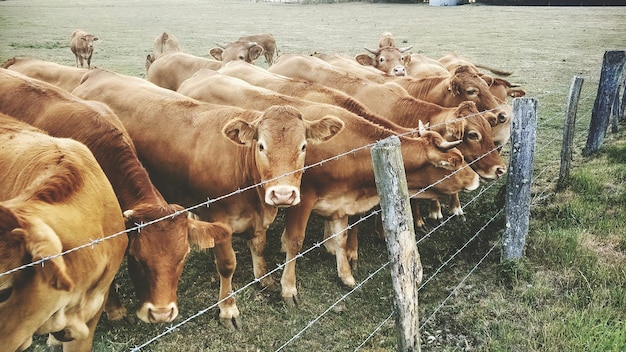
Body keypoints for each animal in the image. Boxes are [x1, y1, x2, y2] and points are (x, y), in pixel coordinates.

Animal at [73, 68, 346, 328]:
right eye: (261, 146)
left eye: (303, 146)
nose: (282, 194)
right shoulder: (220, 219)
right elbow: (227, 264)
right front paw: (228, 310)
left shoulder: (259, 218)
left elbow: (259, 245)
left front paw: (264, 277)